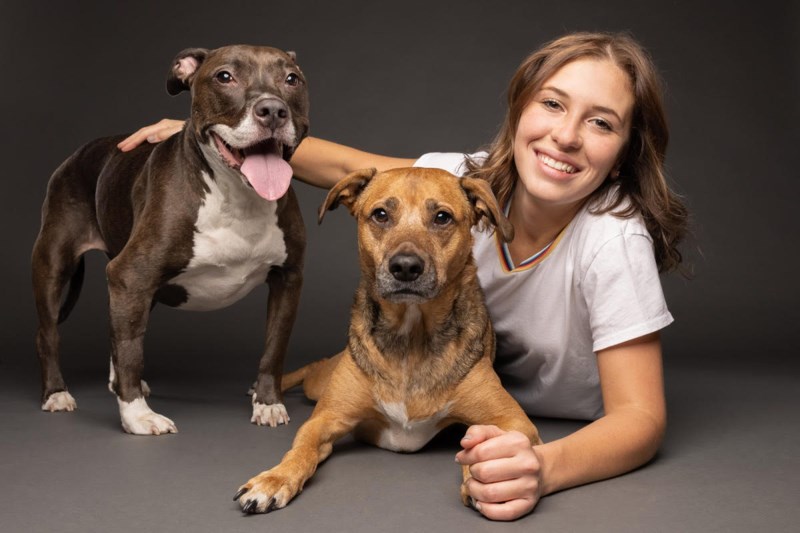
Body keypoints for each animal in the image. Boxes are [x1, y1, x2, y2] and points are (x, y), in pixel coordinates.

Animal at [29, 45, 310, 434]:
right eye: (225, 77)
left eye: (292, 79)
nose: (272, 110)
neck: (238, 196)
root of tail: (77, 153)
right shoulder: (131, 274)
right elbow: (131, 350)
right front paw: (136, 415)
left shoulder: (288, 279)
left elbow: (274, 348)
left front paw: (267, 403)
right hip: (55, 264)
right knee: (51, 334)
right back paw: (57, 393)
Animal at [234, 168, 540, 512]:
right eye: (381, 214)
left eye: (442, 217)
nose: (405, 266)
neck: (411, 336)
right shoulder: (324, 418)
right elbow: (301, 449)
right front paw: (275, 478)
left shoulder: (513, 421)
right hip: (319, 384)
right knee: (314, 367)